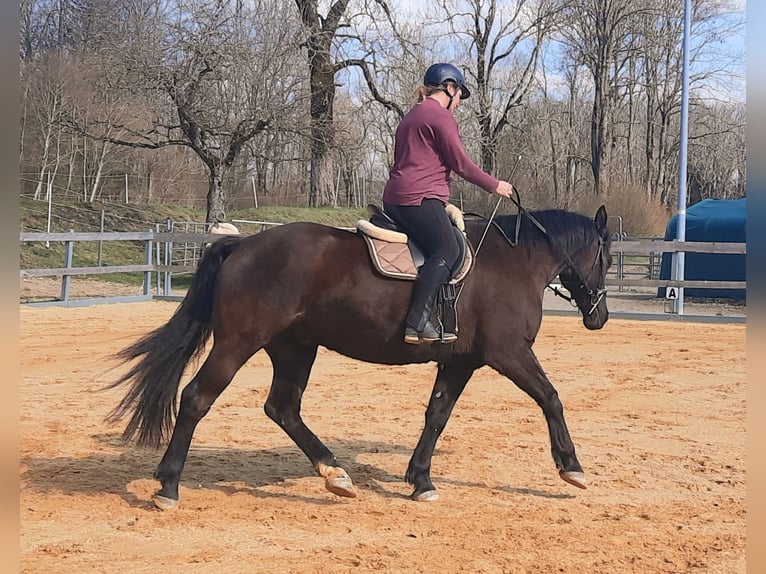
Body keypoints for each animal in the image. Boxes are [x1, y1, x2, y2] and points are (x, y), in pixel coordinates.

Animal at [106, 205, 612, 510]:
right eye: (606, 259)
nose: (600, 317)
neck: (514, 261)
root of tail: (243, 244)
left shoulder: (460, 362)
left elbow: (436, 416)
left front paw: (421, 479)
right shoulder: (509, 353)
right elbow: (550, 397)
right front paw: (572, 468)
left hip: (295, 347)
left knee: (283, 407)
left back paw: (334, 473)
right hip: (238, 342)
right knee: (196, 399)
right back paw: (169, 486)